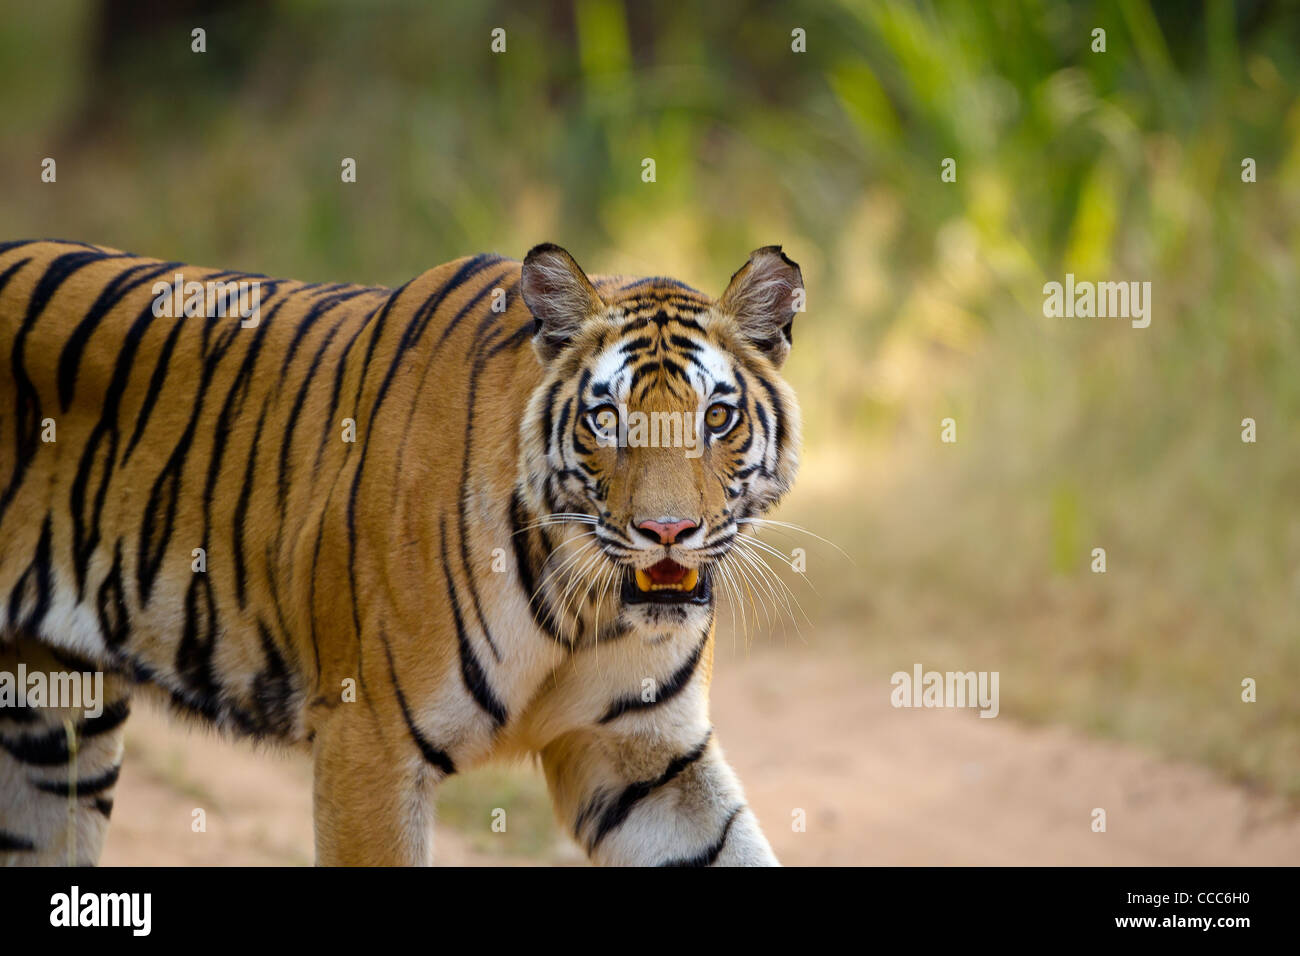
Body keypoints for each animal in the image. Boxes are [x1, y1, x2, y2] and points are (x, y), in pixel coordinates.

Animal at [0, 239, 800, 868]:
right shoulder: (370, 742)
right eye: (607, 420)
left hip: (52, 728)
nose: (667, 531)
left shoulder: (646, 757)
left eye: (716, 418)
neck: (586, 605)